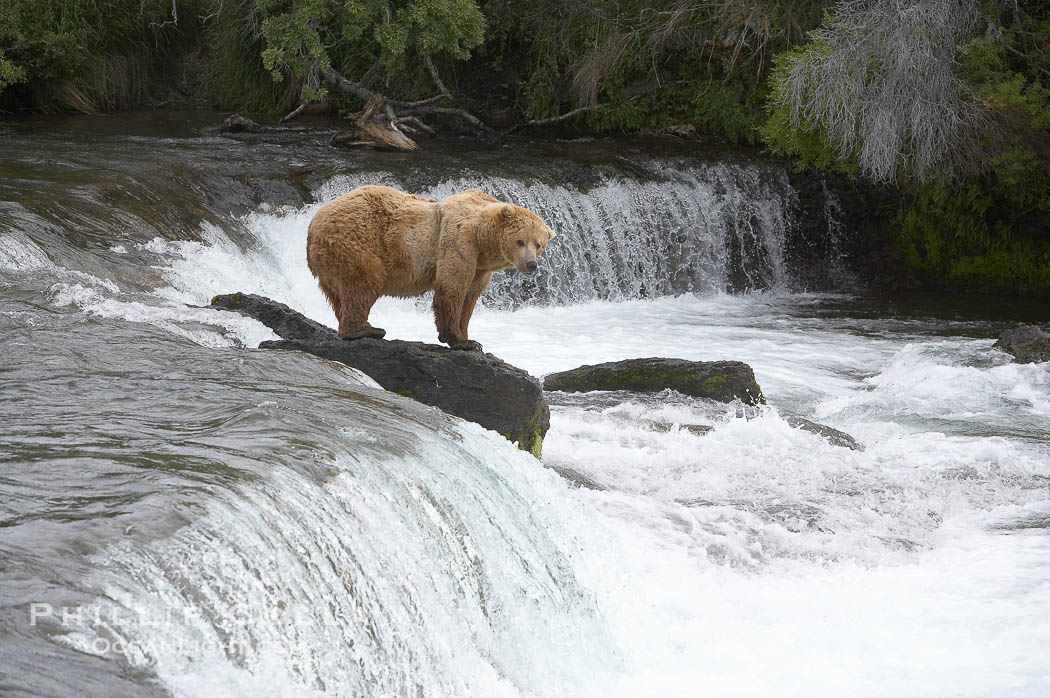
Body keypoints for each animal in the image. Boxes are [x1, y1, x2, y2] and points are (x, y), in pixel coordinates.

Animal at [306, 185, 555, 351]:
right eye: (520, 241)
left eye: (538, 244)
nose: (531, 264)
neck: (482, 240)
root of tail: (314, 223)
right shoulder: (459, 242)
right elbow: (452, 288)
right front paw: (460, 340)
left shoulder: (481, 268)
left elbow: (470, 297)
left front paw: (469, 336)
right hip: (357, 238)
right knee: (365, 282)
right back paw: (367, 329)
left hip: (331, 261)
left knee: (339, 294)